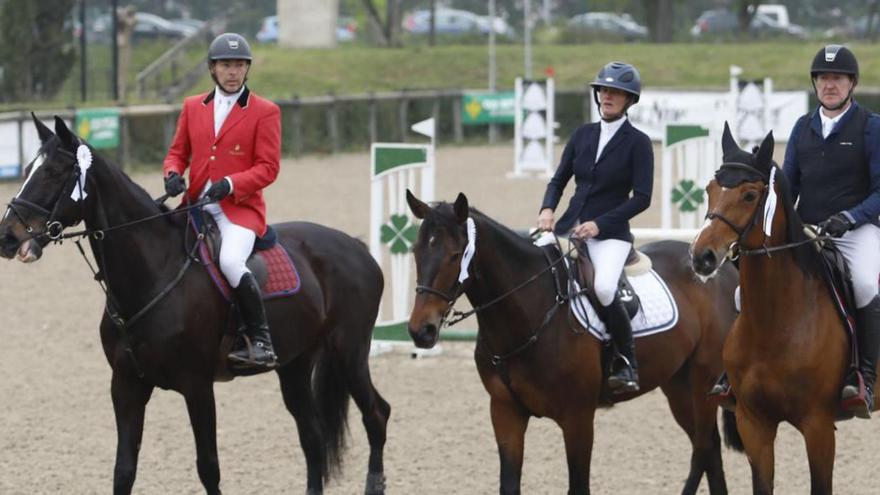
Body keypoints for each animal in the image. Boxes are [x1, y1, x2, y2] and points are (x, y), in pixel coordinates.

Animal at [0, 115, 388, 492]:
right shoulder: (126, 385)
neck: (152, 273)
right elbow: (123, 471)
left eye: (53, 172)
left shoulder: (197, 386)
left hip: (349, 353)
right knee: (312, 435)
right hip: (294, 363)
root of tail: (355, 246)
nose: (7, 236)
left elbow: (208, 468)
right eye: (27, 170)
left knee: (376, 415)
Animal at [406, 191, 744, 495]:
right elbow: (509, 484)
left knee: (704, 447)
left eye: (455, 255)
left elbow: (578, 486)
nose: (421, 331)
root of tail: (723, 267)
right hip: (678, 385)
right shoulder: (505, 412)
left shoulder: (578, 418)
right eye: (415, 251)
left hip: (702, 382)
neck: (530, 312)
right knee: (708, 448)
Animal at [692, 126, 876, 495]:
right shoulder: (754, 424)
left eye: (750, 195)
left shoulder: (818, 426)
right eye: (709, 189)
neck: (776, 324)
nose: (701, 256)